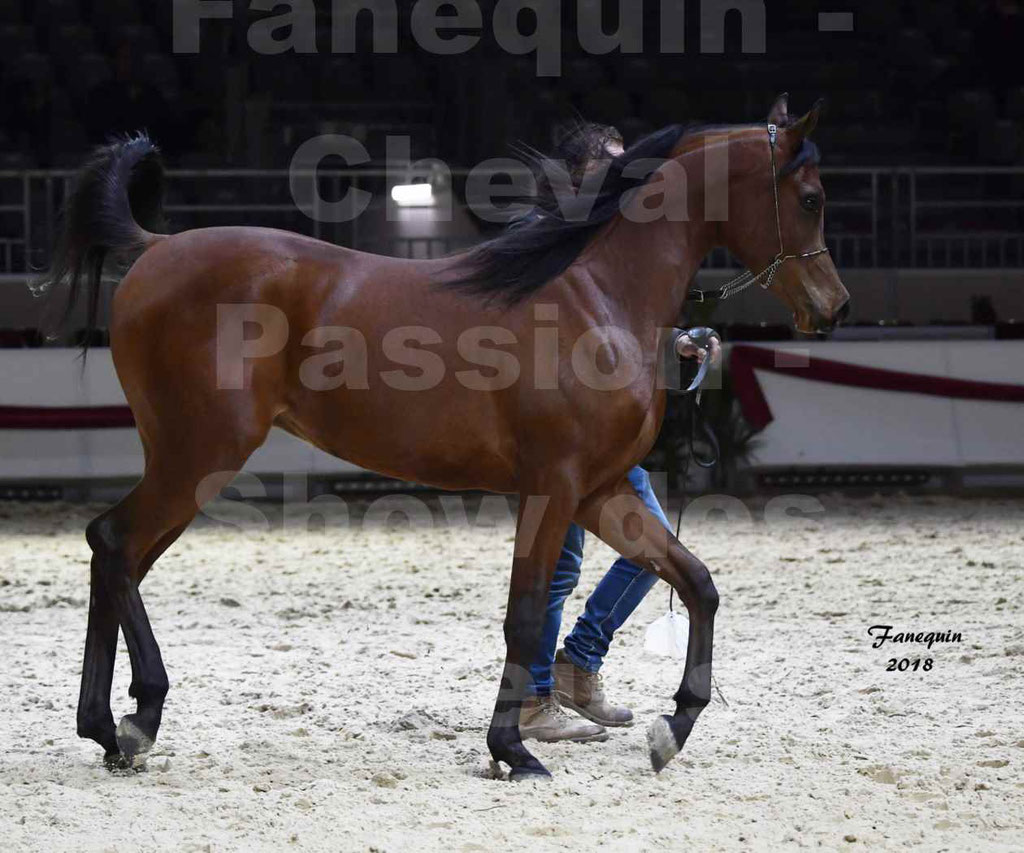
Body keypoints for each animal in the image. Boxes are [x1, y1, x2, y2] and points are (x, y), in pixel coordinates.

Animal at [48, 93, 847, 778]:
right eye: (811, 199)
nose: (833, 306)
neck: (595, 298)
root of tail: (156, 249)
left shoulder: (602, 492)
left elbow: (697, 582)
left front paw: (671, 727)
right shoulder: (552, 488)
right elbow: (524, 615)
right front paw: (512, 750)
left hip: (187, 464)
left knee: (115, 558)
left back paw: (108, 728)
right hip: (198, 457)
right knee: (114, 544)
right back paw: (136, 718)